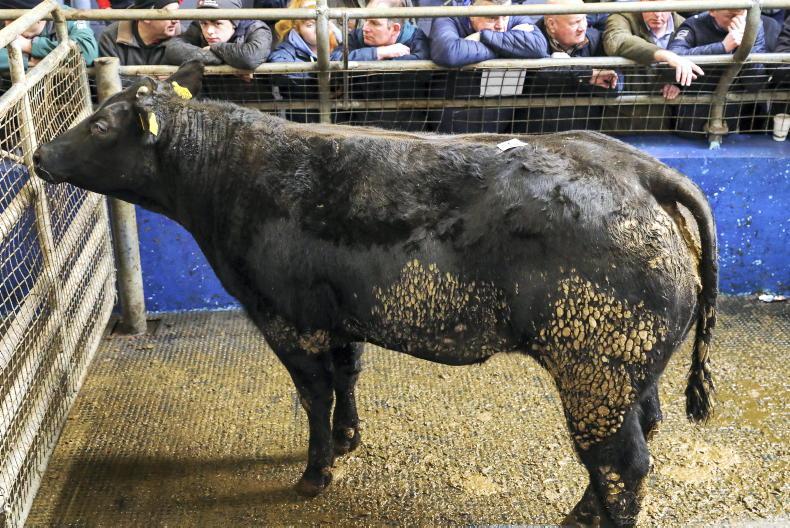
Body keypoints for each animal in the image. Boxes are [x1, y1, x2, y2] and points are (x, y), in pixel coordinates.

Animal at [33, 60, 717, 527]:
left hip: (596, 364)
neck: (226, 174)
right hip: (627, 369)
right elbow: (347, 375)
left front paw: (316, 472)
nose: (39, 152)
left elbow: (312, 394)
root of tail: (640, 169)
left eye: (99, 123)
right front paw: (348, 438)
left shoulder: (285, 318)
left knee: (621, 463)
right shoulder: (340, 316)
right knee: (642, 432)